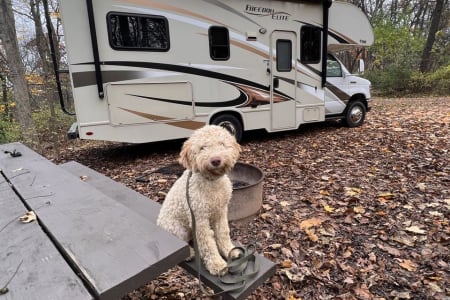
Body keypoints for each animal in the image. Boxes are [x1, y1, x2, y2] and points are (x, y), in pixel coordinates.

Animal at [158, 125, 243, 276]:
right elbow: (207, 243)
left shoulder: (221, 212)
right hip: (177, 228)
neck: (212, 182)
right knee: (184, 242)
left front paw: (229, 251)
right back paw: (190, 253)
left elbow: (223, 233)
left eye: (222, 144)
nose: (216, 160)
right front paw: (217, 264)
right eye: (202, 147)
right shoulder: (199, 218)